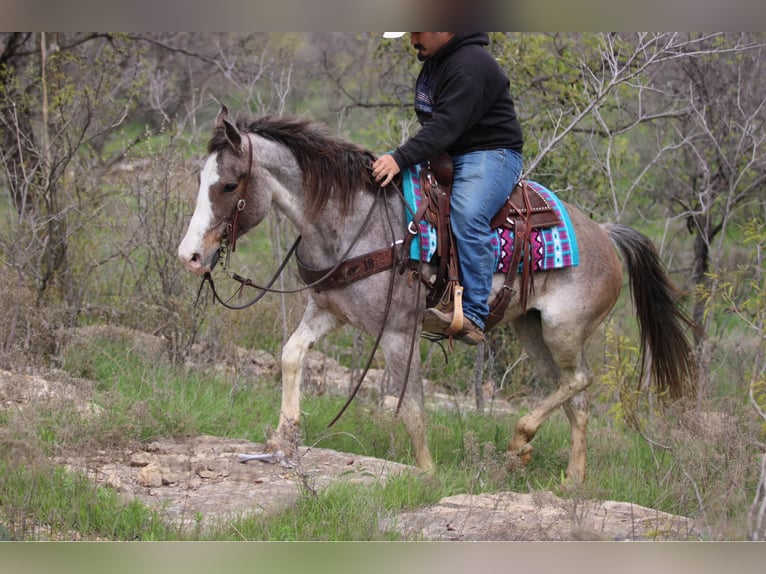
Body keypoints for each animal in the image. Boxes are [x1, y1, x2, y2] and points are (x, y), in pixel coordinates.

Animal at [177, 106, 700, 484]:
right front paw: (282, 441)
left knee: (580, 381)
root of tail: (605, 234)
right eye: (200, 180)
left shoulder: (396, 332)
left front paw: (427, 473)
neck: (353, 220)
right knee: (575, 396)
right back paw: (569, 479)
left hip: (564, 329)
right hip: (533, 329)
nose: (190, 255)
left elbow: (409, 406)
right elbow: (290, 356)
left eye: (228, 184)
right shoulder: (327, 311)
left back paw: (522, 440)